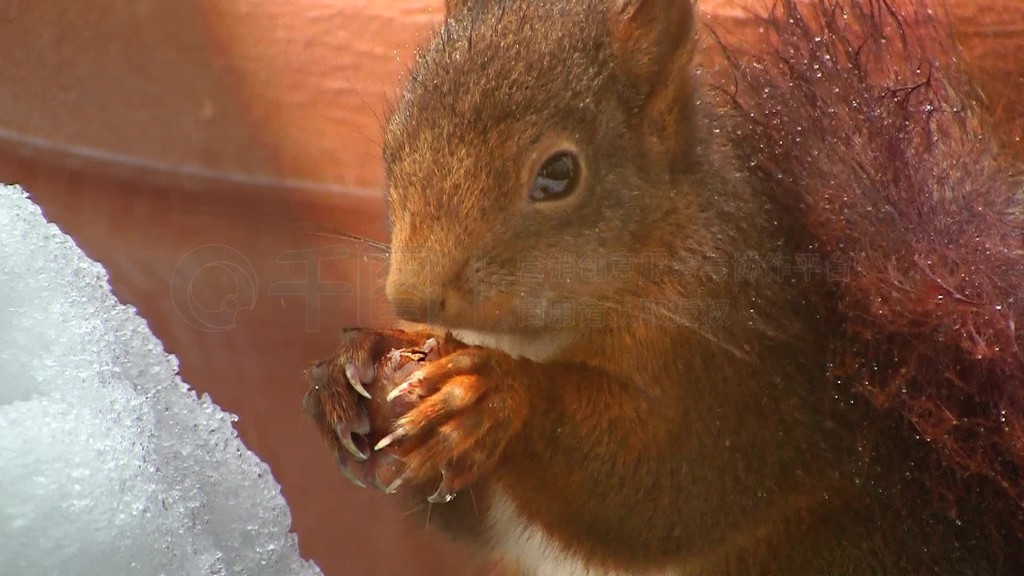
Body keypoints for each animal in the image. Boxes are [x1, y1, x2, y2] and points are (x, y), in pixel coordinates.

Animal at [299, 0, 1019, 569]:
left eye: (559, 175)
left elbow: (669, 486)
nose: (411, 297)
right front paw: (348, 368)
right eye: (395, 142)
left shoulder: (745, 373)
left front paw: (492, 396)